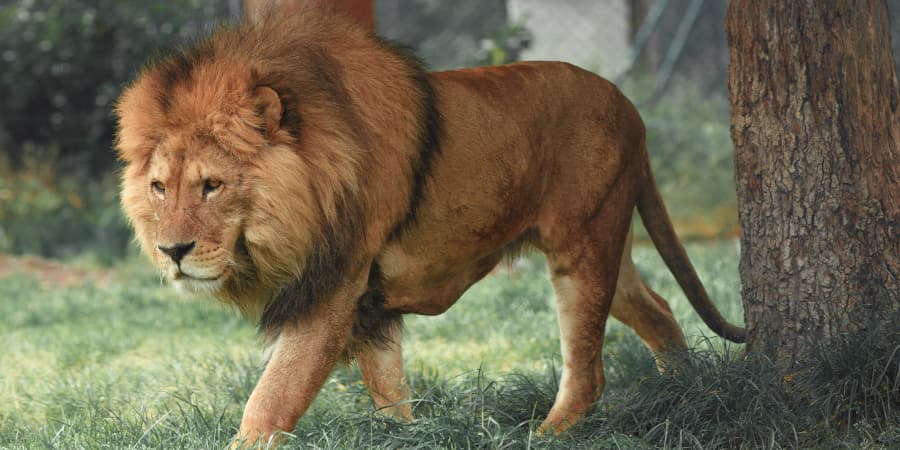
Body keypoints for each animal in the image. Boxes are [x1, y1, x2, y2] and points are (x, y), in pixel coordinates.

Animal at [115, 5, 746, 446]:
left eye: (212, 185)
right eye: (159, 187)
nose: (172, 251)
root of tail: (629, 106)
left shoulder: (333, 287)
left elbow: (273, 397)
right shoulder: (367, 304)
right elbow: (389, 390)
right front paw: (410, 436)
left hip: (583, 245)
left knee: (588, 370)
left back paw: (547, 436)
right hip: (605, 241)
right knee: (657, 307)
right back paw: (682, 394)